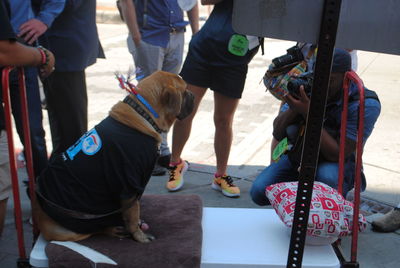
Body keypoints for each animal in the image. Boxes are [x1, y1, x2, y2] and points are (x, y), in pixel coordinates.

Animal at [32, 71, 194, 243]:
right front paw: (139, 235)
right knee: (95, 230)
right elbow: (133, 213)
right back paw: (114, 230)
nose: (192, 94)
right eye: (185, 91)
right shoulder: (129, 184)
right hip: (69, 231)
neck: (145, 112)